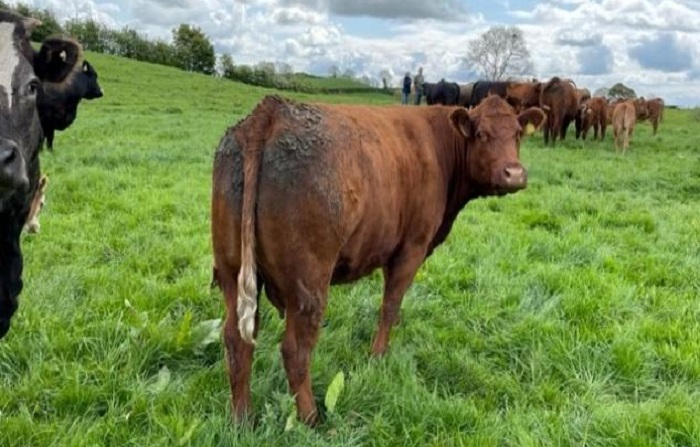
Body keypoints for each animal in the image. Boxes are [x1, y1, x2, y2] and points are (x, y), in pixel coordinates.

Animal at [211, 94, 546, 425]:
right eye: (481, 134)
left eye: (518, 133)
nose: (514, 173)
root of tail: (269, 112)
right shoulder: (411, 247)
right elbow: (390, 304)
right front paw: (379, 355)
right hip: (309, 282)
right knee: (295, 350)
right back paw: (311, 418)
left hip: (232, 271)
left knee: (237, 340)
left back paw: (242, 419)